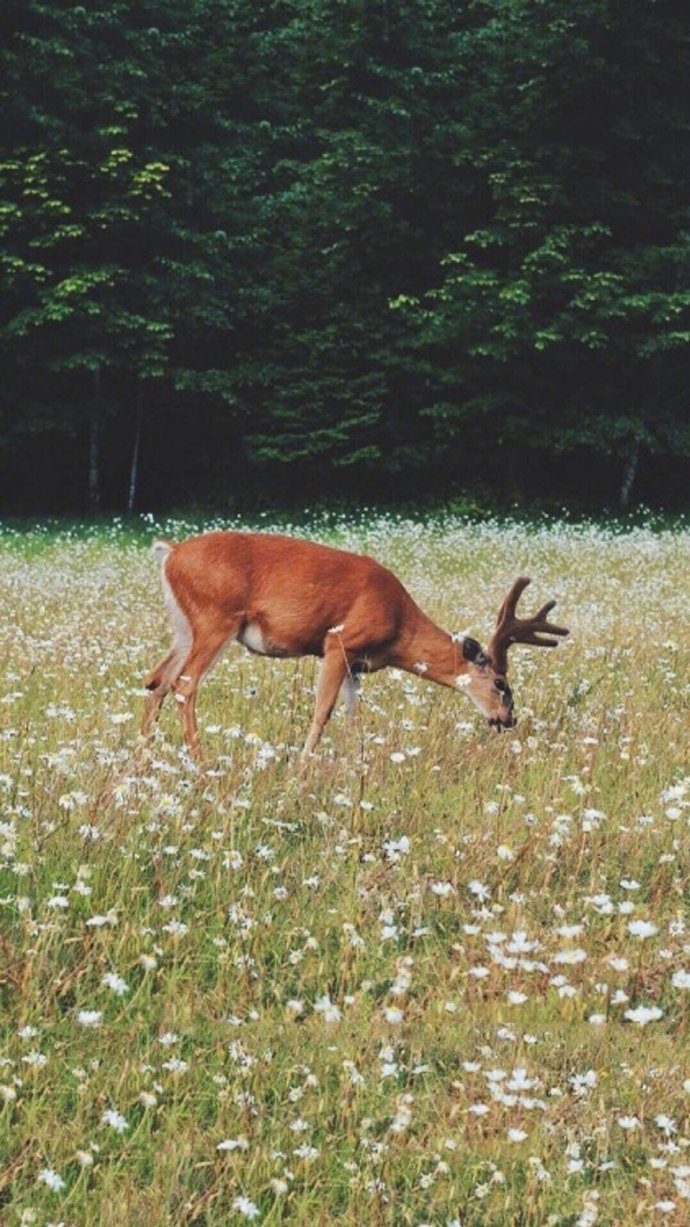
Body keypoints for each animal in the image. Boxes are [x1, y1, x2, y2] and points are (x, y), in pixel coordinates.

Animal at [139, 532, 564, 760]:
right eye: (501, 684)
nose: (508, 719)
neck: (398, 626)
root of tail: (172, 553)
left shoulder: (357, 663)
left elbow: (352, 715)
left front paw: (356, 764)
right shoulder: (338, 641)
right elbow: (323, 712)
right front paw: (301, 769)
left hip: (185, 627)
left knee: (156, 679)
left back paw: (142, 757)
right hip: (216, 619)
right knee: (184, 684)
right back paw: (200, 763)